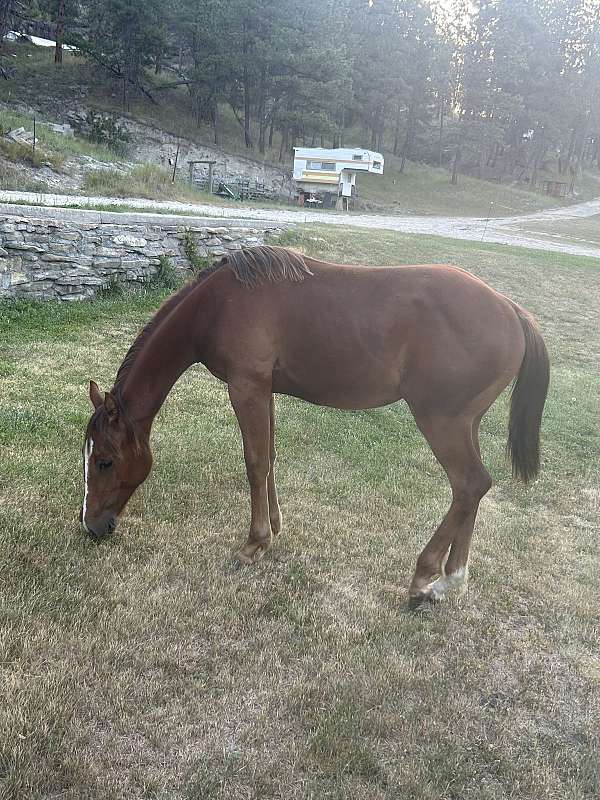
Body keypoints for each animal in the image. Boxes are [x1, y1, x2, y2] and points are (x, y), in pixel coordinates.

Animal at [81, 245, 549, 607]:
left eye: (105, 461)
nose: (92, 527)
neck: (219, 304)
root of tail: (512, 310)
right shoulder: (263, 389)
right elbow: (269, 457)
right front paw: (274, 529)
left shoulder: (246, 387)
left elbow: (254, 463)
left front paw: (252, 545)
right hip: (467, 423)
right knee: (475, 489)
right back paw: (451, 580)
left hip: (442, 422)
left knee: (469, 484)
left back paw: (425, 579)